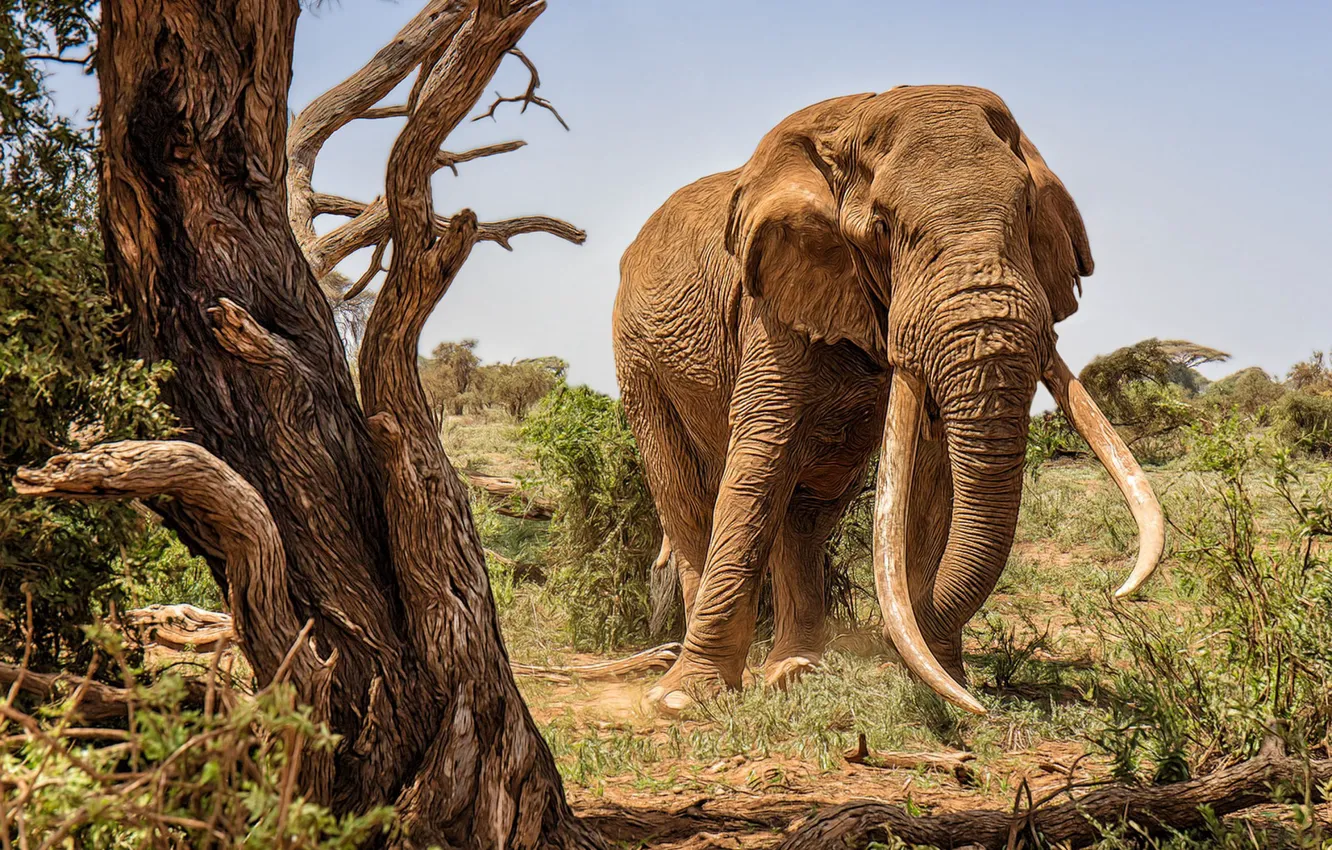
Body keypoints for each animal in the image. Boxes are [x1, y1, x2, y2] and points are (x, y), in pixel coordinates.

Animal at [612, 85, 1164, 715]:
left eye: (1026, 211)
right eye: (881, 227)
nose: (885, 652)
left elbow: (931, 472)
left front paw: (943, 679)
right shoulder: (769, 303)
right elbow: (761, 455)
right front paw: (684, 702)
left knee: (809, 507)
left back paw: (795, 668)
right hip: (637, 358)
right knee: (687, 498)